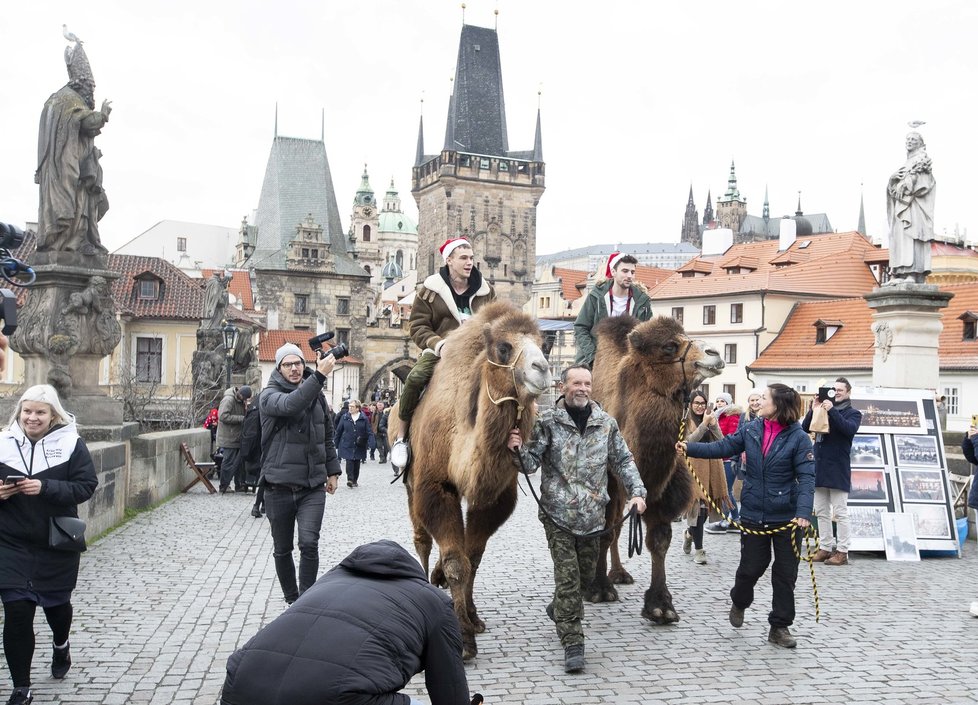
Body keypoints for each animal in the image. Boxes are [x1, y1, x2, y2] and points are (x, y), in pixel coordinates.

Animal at [392, 302, 552, 660]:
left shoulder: (493, 497)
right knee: (421, 539)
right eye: (504, 348)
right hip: (409, 482)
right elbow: (456, 562)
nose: (543, 368)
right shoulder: (435, 487)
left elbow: (472, 557)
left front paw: (472, 617)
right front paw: (463, 638)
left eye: (544, 344)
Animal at [584, 314, 720, 620]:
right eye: (669, 346)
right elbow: (604, 530)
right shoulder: (608, 481)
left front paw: (661, 606)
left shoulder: (664, 488)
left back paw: (619, 574)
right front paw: (598, 589)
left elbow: (659, 539)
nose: (715, 354)